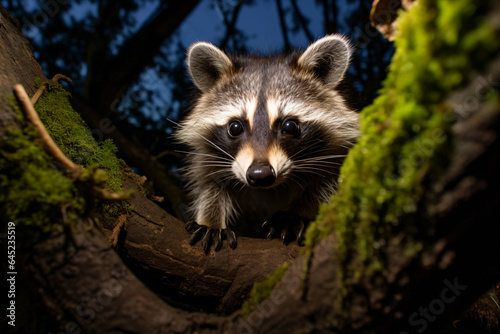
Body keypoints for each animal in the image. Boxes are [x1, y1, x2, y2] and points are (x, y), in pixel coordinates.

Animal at [176, 34, 360, 253]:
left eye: (290, 126)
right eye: (235, 127)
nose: (260, 175)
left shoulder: (337, 150)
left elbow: (326, 183)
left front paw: (298, 211)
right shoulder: (209, 154)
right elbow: (209, 184)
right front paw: (211, 220)